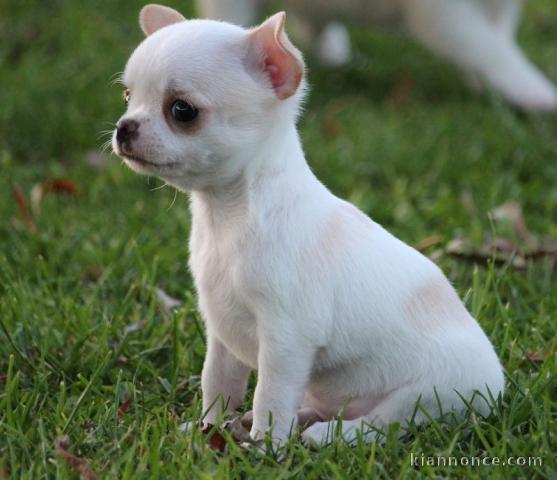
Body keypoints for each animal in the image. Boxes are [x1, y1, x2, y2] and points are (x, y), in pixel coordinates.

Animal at [112, 4, 504, 446]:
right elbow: (216, 384)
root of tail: (498, 383)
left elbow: (270, 395)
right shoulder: (222, 334)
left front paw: (264, 447)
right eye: (127, 97)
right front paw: (207, 431)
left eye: (182, 110)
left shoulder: (286, 342)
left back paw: (326, 434)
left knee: (382, 424)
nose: (123, 127)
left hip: (430, 393)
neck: (228, 217)